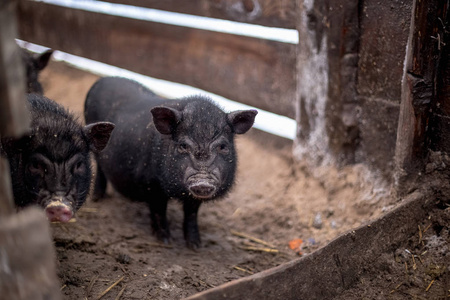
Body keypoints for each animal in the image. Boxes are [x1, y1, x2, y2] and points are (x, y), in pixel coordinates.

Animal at [84, 78, 256, 248]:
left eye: (223, 147)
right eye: (183, 146)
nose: (203, 181)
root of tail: (100, 80)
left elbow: (191, 213)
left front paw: (195, 245)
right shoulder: (152, 184)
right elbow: (159, 210)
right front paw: (166, 240)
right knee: (99, 168)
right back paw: (97, 198)